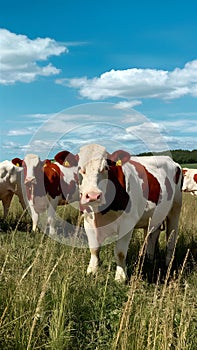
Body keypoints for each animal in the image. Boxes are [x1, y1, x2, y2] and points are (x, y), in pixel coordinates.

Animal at [77, 143, 182, 282]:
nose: (93, 195)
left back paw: (168, 264)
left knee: (171, 237)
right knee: (152, 235)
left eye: (105, 168)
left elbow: (120, 252)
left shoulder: (127, 222)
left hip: (175, 208)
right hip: (154, 216)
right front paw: (92, 271)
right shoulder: (88, 220)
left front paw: (120, 277)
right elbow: (94, 249)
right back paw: (149, 260)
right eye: (79, 169)